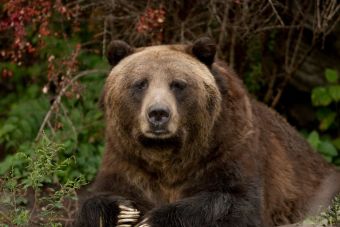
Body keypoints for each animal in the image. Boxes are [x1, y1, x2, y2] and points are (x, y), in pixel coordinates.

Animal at [75, 38, 340, 226]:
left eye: (178, 84)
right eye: (140, 83)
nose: (158, 114)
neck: (167, 154)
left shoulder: (229, 146)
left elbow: (237, 203)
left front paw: (153, 219)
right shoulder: (126, 158)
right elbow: (97, 197)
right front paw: (123, 212)